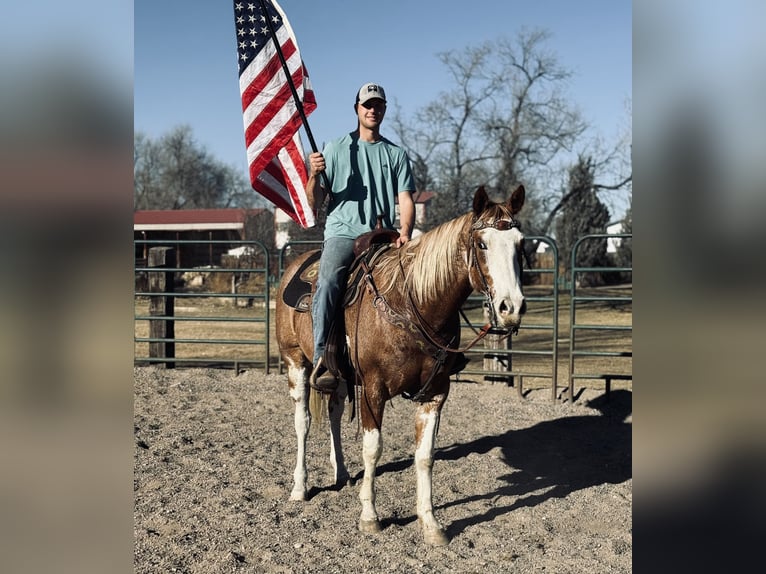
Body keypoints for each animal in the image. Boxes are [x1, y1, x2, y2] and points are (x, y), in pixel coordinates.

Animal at [275, 185, 526, 546]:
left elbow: (425, 456)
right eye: (482, 244)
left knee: (334, 413)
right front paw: (369, 517)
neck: (413, 302)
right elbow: (373, 449)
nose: (511, 308)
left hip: (338, 377)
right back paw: (299, 487)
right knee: (302, 422)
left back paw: (342, 473)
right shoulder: (373, 390)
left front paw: (430, 523)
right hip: (295, 360)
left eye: (520, 244)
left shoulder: (435, 393)